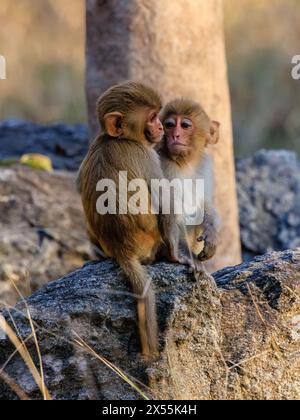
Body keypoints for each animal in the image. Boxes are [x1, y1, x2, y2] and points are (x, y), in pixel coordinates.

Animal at [77, 82, 193, 358]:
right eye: (152, 117)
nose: (161, 128)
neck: (119, 138)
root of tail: (122, 250)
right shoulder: (147, 156)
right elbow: (166, 205)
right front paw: (177, 256)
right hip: (152, 242)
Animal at [159, 99, 220, 268]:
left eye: (185, 125)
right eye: (169, 125)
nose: (175, 135)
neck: (183, 162)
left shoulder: (204, 164)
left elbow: (203, 203)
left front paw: (212, 229)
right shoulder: (164, 165)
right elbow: (170, 208)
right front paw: (187, 254)